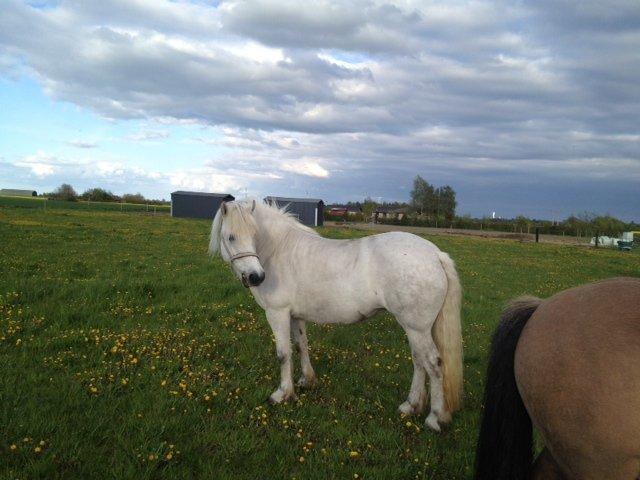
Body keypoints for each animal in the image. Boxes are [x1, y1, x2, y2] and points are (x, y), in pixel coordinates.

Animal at [208, 199, 464, 431]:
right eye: (230, 237)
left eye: (254, 234)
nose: (256, 277)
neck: (278, 251)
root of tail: (435, 254)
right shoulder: (295, 315)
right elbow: (301, 345)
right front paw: (306, 380)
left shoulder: (277, 313)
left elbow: (283, 354)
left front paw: (282, 394)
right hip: (414, 329)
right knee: (419, 361)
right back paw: (410, 406)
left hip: (417, 328)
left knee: (433, 364)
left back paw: (435, 418)